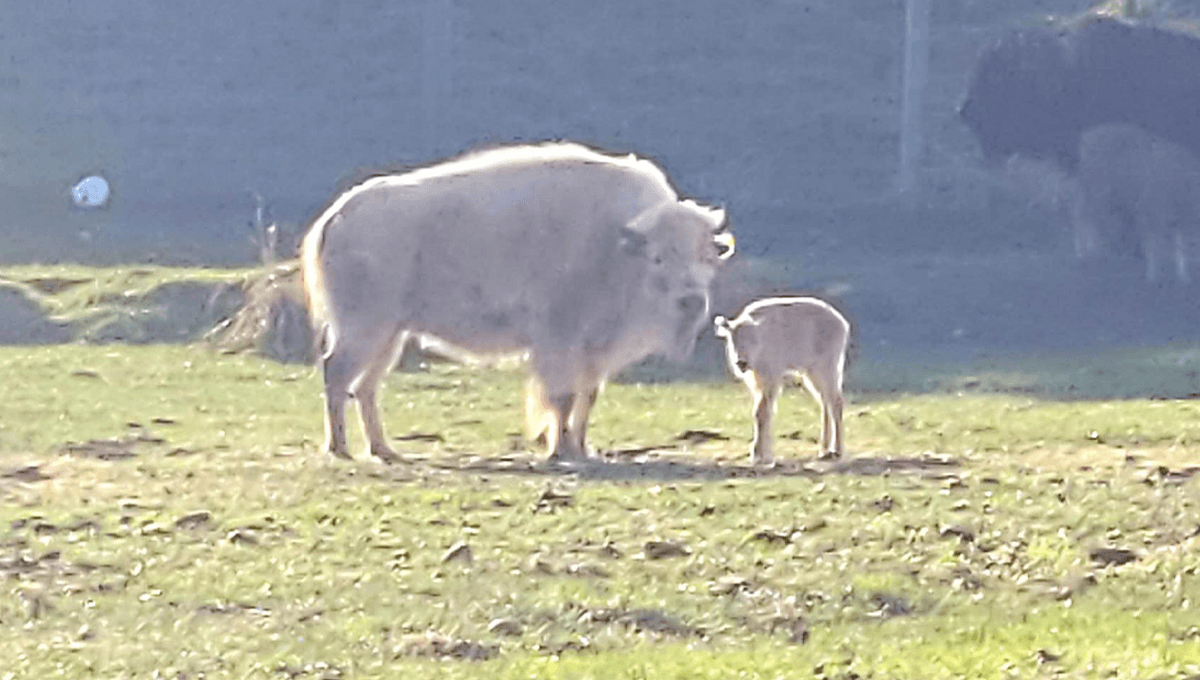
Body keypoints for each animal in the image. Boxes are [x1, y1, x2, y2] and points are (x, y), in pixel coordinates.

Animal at [299, 142, 735, 463]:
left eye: (707, 258)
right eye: (658, 258)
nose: (692, 301)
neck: (616, 246)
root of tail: (337, 216)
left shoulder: (593, 350)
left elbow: (586, 397)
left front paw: (583, 449)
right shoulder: (559, 340)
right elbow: (561, 397)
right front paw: (560, 450)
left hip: (391, 334)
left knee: (365, 386)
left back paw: (384, 450)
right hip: (364, 328)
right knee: (337, 374)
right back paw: (340, 449)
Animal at [713, 297, 850, 466]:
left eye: (753, 340)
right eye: (732, 339)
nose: (741, 362)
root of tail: (842, 323)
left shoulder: (772, 379)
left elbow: (762, 412)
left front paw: (759, 455)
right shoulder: (758, 380)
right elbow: (763, 411)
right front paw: (762, 454)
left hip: (826, 369)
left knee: (836, 402)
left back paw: (837, 451)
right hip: (811, 374)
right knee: (826, 403)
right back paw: (823, 450)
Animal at [1074, 123, 1200, 284]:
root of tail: (1088, 137)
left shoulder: (1176, 221)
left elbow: (1179, 250)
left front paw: (1183, 276)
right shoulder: (1153, 213)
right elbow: (1154, 246)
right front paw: (1153, 276)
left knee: (1085, 218)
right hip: (1096, 192)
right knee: (1084, 219)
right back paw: (1088, 253)